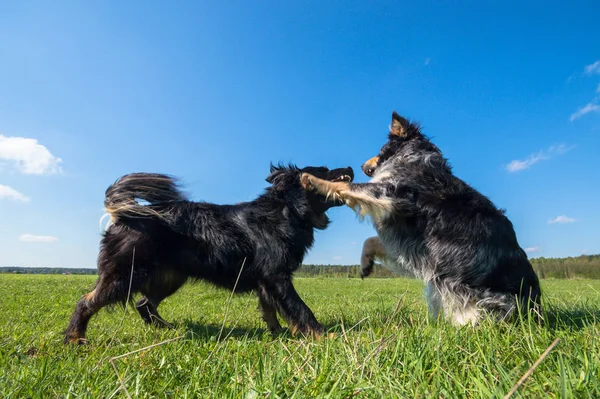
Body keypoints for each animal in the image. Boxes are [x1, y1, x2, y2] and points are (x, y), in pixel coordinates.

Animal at [67, 164, 352, 346]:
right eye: (324, 170)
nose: (350, 167)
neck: (287, 210)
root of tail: (125, 215)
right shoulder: (277, 277)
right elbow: (300, 309)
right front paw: (324, 336)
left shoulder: (266, 281)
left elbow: (271, 310)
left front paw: (278, 334)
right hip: (126, 275)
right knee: (86, 302)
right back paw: (74, 339)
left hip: (169, 277)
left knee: (144, 304)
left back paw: (168, 330)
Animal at [302, 112, 540, 324]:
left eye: (379, 151)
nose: (360, 165)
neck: (414, 159)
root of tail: (535, 311)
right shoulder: (407, 241)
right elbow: (371, 240)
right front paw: (366, 263)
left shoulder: (390, 194)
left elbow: (347, 187)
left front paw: (312, 180)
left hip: (471, 291)